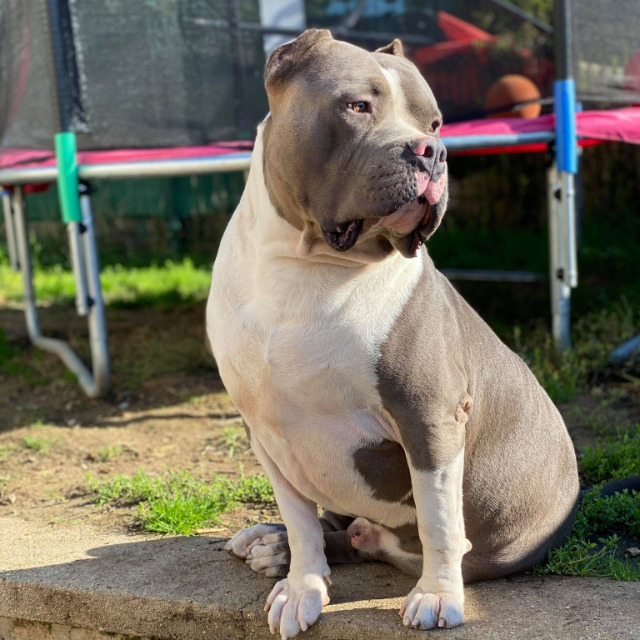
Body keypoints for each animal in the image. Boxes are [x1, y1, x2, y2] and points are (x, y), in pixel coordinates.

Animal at [206, 30, 580, 640]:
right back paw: (273, 544)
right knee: (333, 526)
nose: (433, 152)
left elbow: (439, 522)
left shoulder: (428, 417)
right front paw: (302, 585)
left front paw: (436, 596)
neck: (305, 268)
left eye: (435, 123)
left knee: (393, 538)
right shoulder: (265, 429)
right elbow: (300, 518)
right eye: (357, 105)